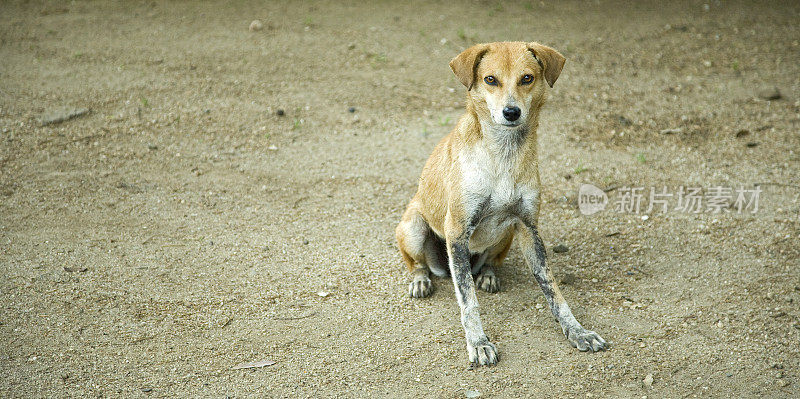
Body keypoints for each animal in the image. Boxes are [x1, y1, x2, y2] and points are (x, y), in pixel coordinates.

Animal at [394, 42, 608, 368]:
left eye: (527, 78)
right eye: (490, 79)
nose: (511, 112)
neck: (503, 154)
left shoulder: (528, 228)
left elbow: (554, 291)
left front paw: (577, 331)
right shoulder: (457, 231)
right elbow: (468, 301)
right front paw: (478, 343)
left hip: (506, 234)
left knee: (492, 261)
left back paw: (489, 275)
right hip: (414, 225)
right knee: (417, 263)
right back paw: (420, 280)